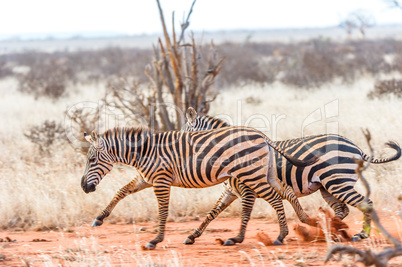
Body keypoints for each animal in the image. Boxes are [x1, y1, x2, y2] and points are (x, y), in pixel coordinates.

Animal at [80, 126, 316, 250]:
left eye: (91, 160)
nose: (83, 187)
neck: (145, 152)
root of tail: (262, 135)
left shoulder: (161, 180)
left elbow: (163, 211)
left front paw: (155, 240)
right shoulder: (145, 179)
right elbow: (121, 191)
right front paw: (99, 218)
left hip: (252, 175)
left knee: (275, 199)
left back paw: (281, 236)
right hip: (264, 173)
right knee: (286, 192)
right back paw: (307, 220)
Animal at [182, 107, 402, 245]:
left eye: (185, 135)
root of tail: (355, 147)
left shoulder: (247, 191)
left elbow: (244, 214)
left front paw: (236, 239)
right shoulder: (230, 191)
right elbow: (212, 213)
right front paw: (192, 236)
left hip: (338, 183)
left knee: (366, 204)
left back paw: (359, 235)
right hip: (328, 187)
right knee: (342, 210)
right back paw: (327, 233)